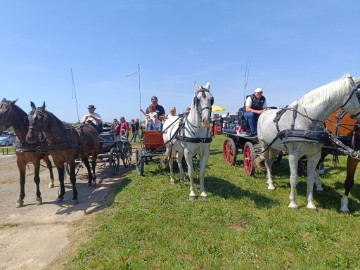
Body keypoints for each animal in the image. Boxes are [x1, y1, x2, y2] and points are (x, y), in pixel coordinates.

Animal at [258, 75, 360, 210]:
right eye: (359, 94)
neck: (307, 121)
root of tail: (263, 112)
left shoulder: (314, 154)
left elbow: (310, 177)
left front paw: (310, 203)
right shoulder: (294, 155)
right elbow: (293, 178)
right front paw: (293, 203)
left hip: (275, 147)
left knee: (270, 161)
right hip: (264, 144)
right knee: (267, 162)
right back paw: (270, 184)